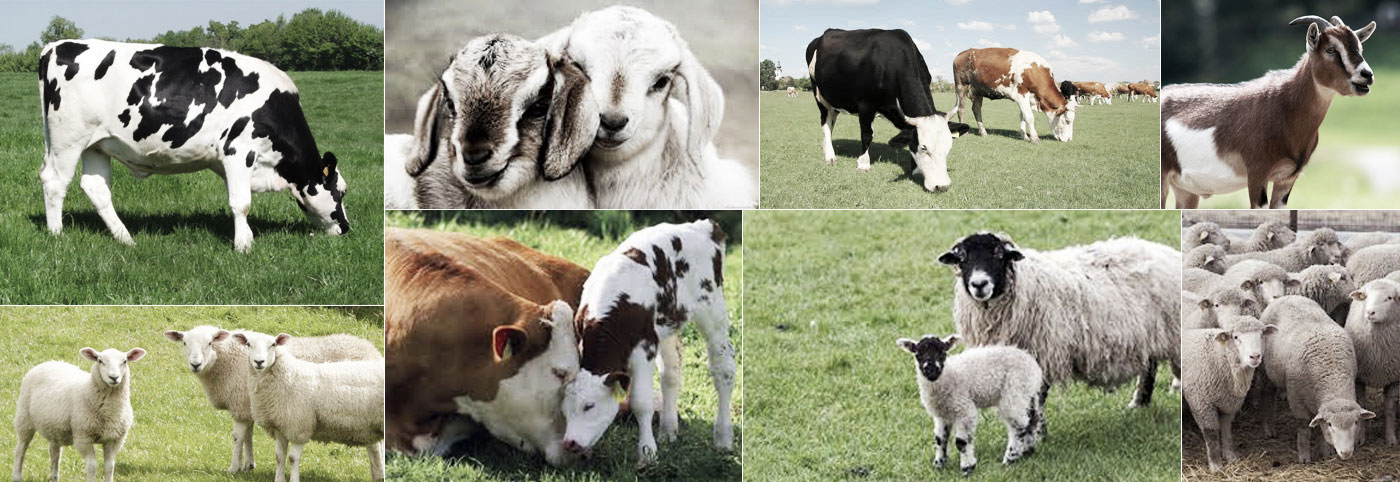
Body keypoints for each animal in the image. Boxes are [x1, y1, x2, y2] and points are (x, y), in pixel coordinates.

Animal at [37, 39, 349, 252]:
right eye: (342, 191)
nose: (346, 229)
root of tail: (57, 45)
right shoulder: (238, 151)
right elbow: (241, 203)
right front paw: (243, 245)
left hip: (97, 144)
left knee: (95, 188)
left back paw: (126, 239)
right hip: (68, 138)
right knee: (54, 181)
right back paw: (56, 234)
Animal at [558, 220, 735, 469]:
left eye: (589, 406)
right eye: (564, 410)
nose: (569, 443)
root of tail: (705, 226)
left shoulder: (644, 348)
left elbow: (641, 402)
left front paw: (647, 453)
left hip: (712, 310)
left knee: (723, 370)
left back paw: (723, 438)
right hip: (668, 324)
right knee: (671, 373)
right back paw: (668, 431)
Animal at [806, 28, 971, 192]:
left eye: (949, 146)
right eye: (924, 147)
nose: (942, 186)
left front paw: (916, 169)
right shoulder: (865, 105)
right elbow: (867, 135)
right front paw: (863, 164)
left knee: (831, 122)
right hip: (819, 95)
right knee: (825, 123)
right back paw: (830, 156)